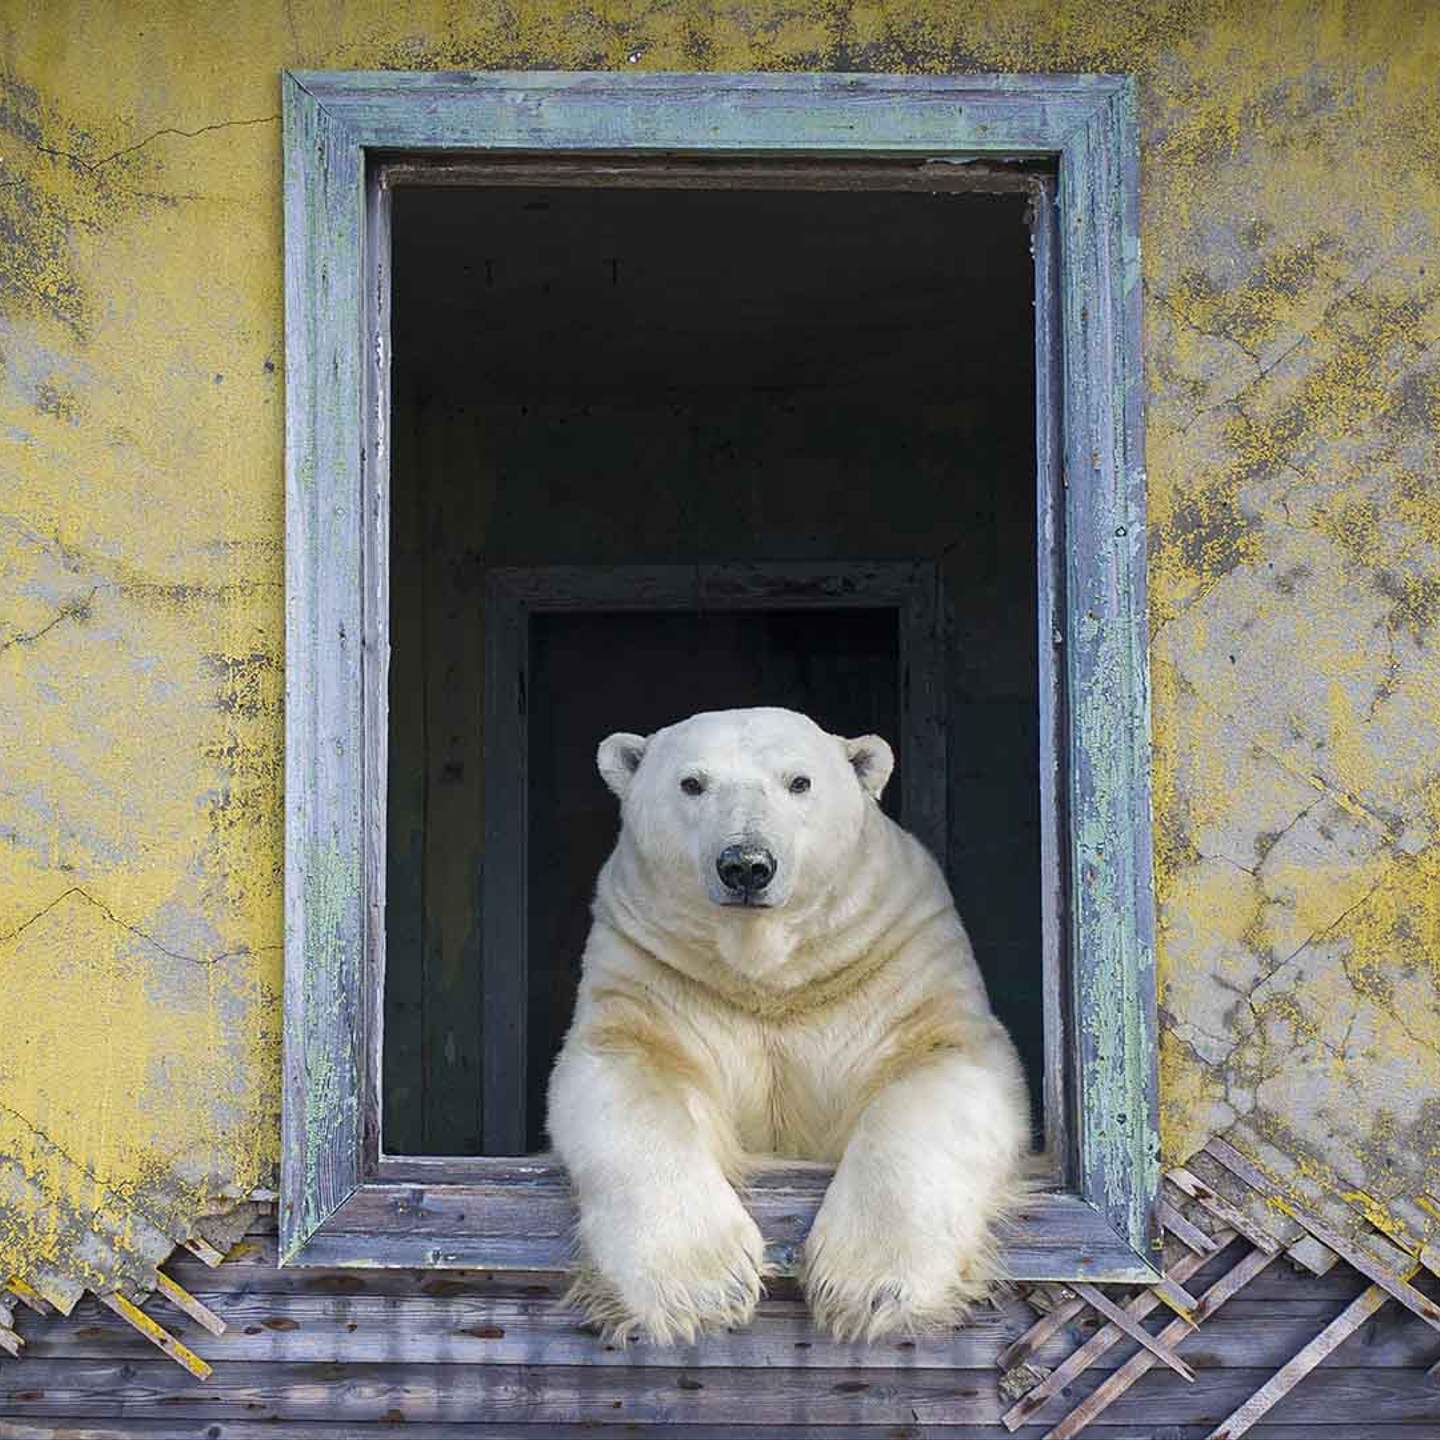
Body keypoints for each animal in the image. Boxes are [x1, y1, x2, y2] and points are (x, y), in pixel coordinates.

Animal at [544, 702, 1031, 1342]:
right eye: (692, 783)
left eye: (799, 782)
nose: (746, 865)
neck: (770, 977)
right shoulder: (651, 972)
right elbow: (625, 1074)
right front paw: (701, 1288)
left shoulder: (897, 958)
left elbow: (941, 1068)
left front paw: (870, 1289)